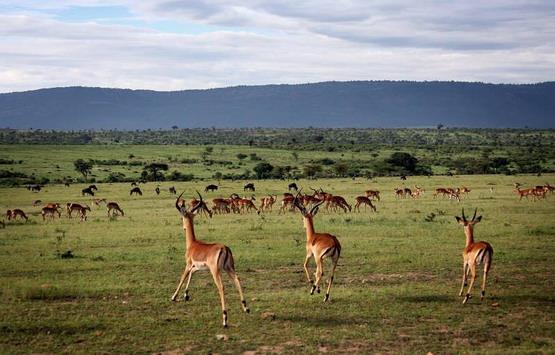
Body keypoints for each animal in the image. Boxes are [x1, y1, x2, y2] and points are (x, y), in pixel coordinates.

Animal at [172, 192, 250, 328]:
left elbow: (182, 277)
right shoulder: (197, 267)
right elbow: (191, 275)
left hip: (216, 271)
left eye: (182, 217)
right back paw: (246, 308)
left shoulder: (188, 264)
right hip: (229, 268)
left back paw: (225, 320)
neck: (193, 244)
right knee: (237, 280)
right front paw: (186, 295)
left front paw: (174, 297)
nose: (183, 227)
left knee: (221, 287)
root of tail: (224, 248)